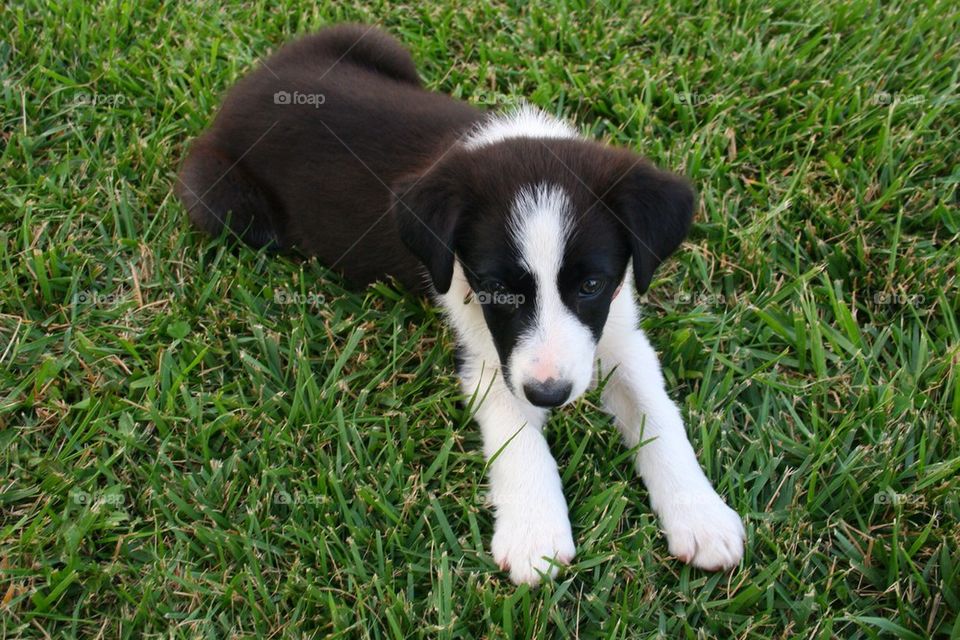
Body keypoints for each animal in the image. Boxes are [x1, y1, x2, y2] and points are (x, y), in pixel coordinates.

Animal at [178, 25, 752, 584]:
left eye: (591, 284)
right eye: (495, 285)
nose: (550, 394)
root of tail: (245, 87)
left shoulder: (619, 333)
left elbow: (659, 415)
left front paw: (700, 516)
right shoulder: (484, 353)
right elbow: (516, 434)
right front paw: (535, 533)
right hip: (227, 204)